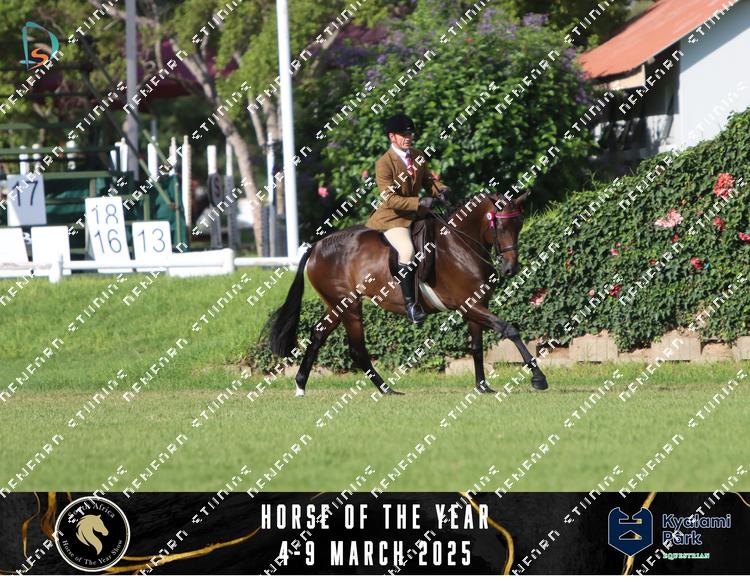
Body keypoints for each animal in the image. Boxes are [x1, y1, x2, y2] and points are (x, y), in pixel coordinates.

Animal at [263, 189, 548, 396]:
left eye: (519, 224)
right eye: (499, 227)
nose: (511, 268)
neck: (460, 244)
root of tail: (317, 246)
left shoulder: (475, 306)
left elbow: (476, 347)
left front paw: (482, 387)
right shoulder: (469, 304)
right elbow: (509, 329)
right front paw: (538, 378)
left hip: (337, 305)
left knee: (321, 335)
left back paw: (306, 384)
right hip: (347, 305)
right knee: (355, 348)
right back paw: (382, 389)